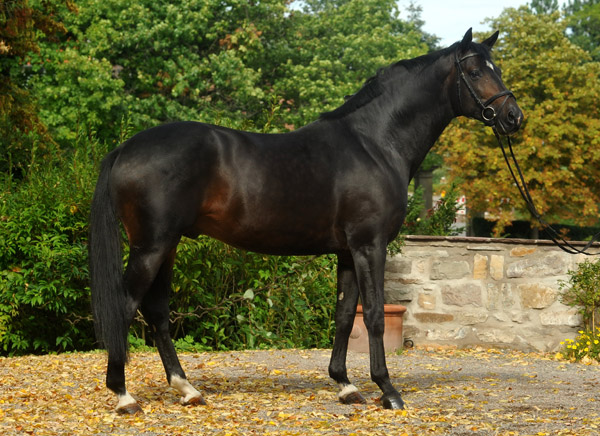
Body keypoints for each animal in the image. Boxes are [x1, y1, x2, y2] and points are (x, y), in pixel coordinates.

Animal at [88, 29, 520, 414]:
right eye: (476, 71)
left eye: (497, 67)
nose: (514, 116)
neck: (375, 143)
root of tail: (125, 148)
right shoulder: (370, 244)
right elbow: (374, 315)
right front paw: (387, 390)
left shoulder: (347, 251)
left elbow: (345, 316)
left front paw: (346, 385)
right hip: (153, 245)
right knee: (126, 305)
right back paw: (124, 396)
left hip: (168, 244)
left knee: (156, 310)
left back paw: (187, 389)